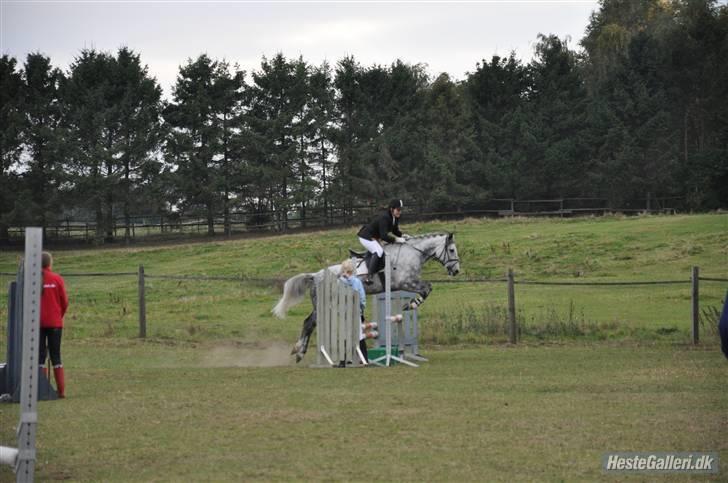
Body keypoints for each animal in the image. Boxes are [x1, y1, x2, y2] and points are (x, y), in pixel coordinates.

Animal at [272, 233, 460, 364]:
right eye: (451, 250)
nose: (456, 270)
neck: (412, 253)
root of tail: (315, 275)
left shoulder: (408, 283)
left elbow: (427, 287)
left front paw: (411, 304)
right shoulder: (406, 282)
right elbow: (428, 288)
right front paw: (411, 304)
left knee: (308, 322)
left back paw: (299, 352)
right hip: (324, 305)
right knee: (309, 323)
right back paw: (300, 352)